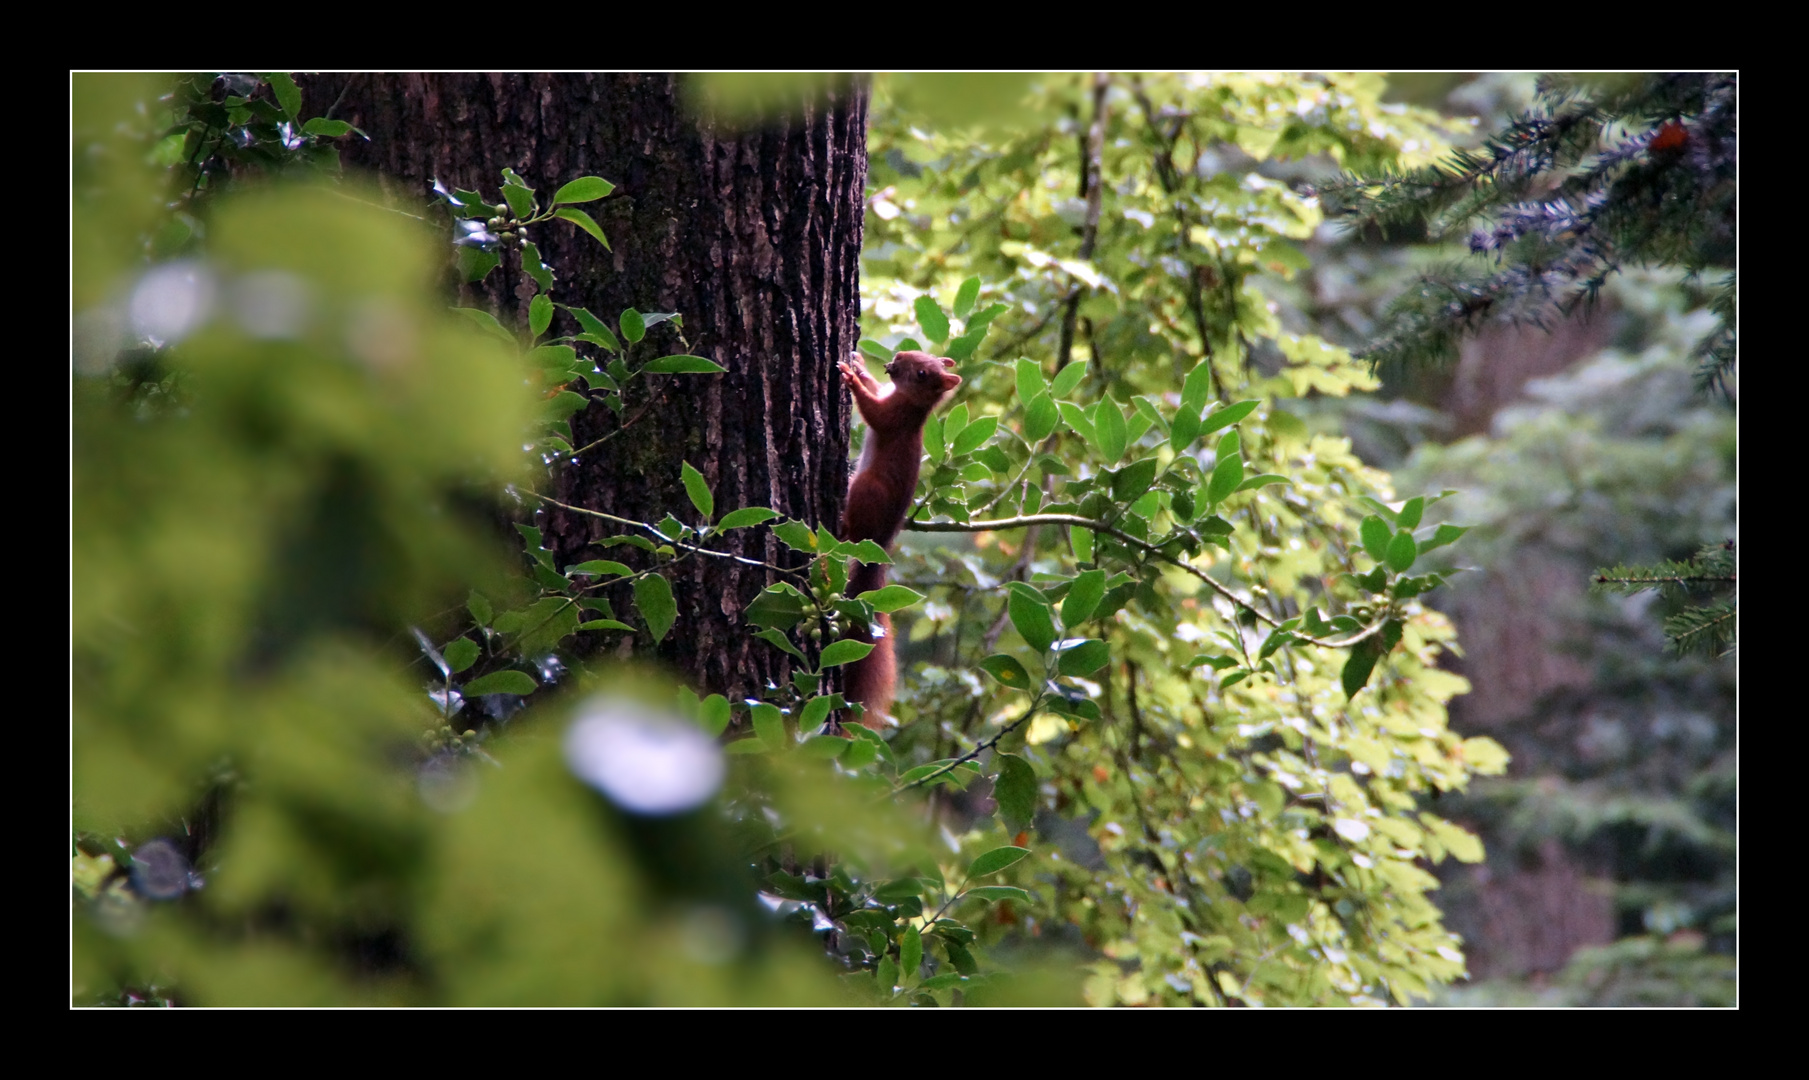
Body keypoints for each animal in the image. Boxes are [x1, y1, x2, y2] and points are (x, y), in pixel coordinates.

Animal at [839, 349, 969, 727]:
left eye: (923, 373)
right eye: (921, 356)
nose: (898, 355)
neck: (911, 402)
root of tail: (880, 546)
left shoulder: (895, 417)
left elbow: (873, 413)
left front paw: (850, 378)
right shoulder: (889, 395)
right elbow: (875, 388)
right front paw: (860, 366)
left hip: (866, 491)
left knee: (854, 530)